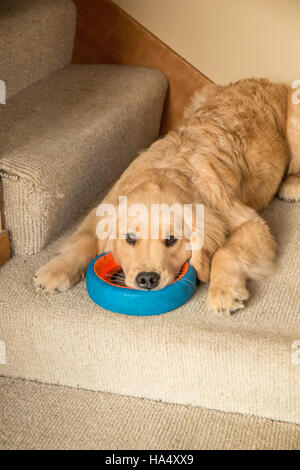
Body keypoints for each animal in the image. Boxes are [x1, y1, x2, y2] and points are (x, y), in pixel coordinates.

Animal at [34, 79, 298, 314]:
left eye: (171, 240)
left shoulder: (249, 221)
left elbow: (227, 250)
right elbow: (84, 239)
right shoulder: (104, 206)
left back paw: (291, 186)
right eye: (130, 238)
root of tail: (269, 82)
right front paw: (53, 271)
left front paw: (223, 291)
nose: (147, 280)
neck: (166, 169)